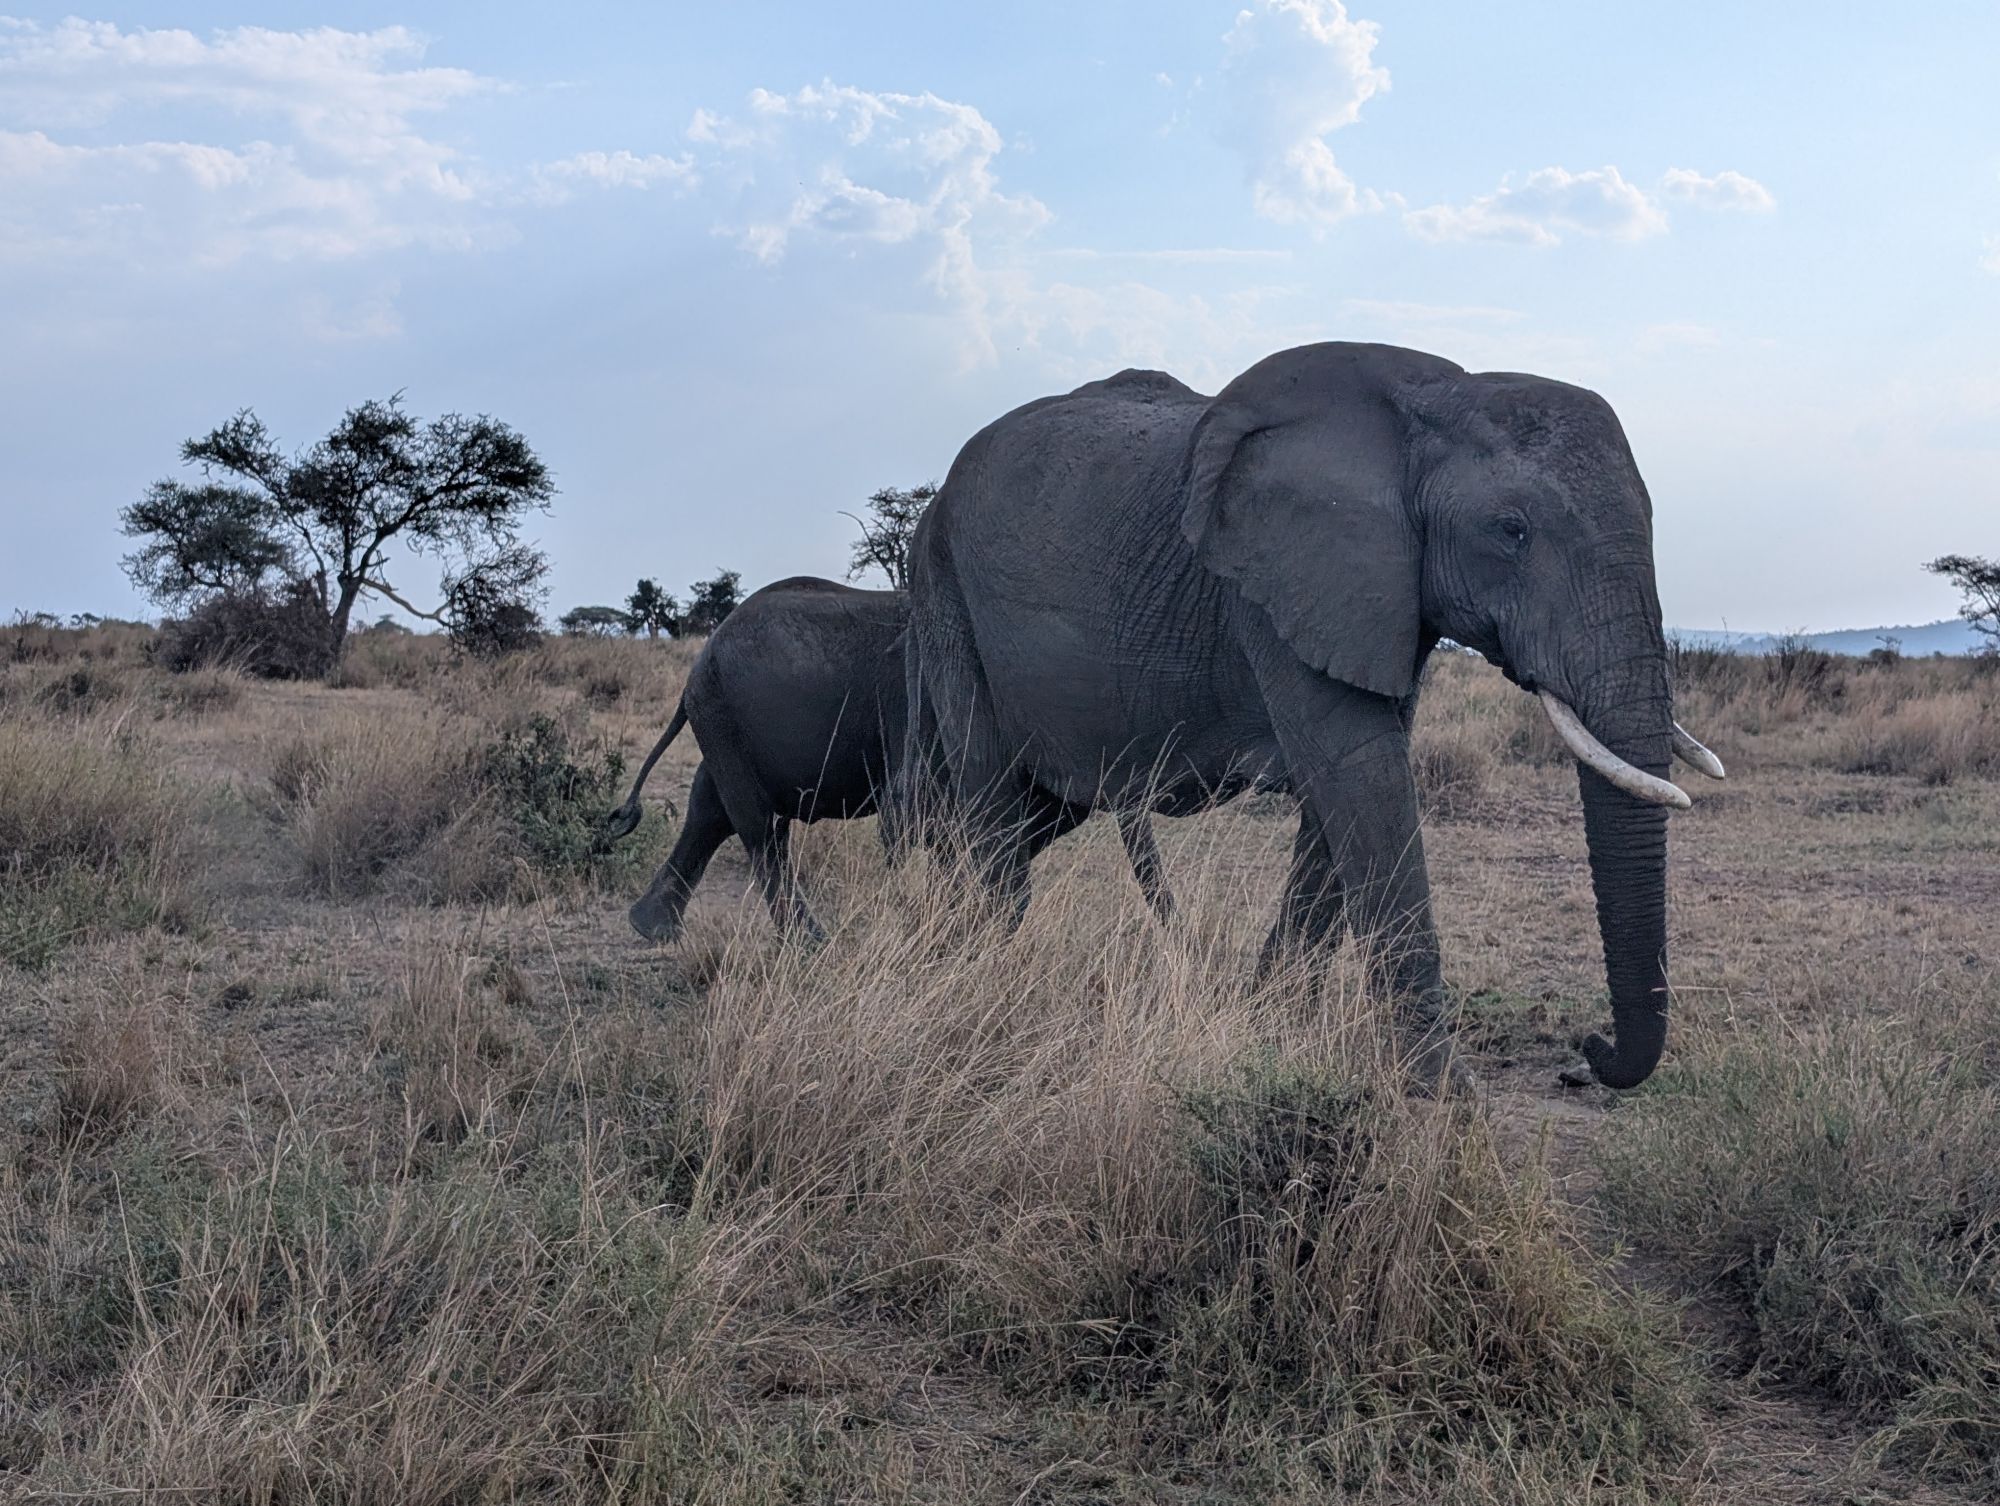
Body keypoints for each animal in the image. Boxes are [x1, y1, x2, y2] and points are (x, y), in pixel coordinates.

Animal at [606, 576, 1175, 944]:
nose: (1181, 941)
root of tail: (698, 662)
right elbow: (931, 818)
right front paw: (947, 933)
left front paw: (956, 927)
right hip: (721, 713)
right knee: (760, 827)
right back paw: (813, 946)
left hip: (724, 723)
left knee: (711, 810)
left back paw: (652, 930)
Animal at [901, 345, 1723, 1090]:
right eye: (1511, 530)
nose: (1585, 1055)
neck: (1438, 395)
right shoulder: (1275, 584)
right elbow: (1361, 772)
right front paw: (1441, 1101)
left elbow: (1348, 792)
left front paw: (1273, 1034)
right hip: (942, 586)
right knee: (990, 796)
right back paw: (985, 972)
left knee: (1029, 809)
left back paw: (934, 942)